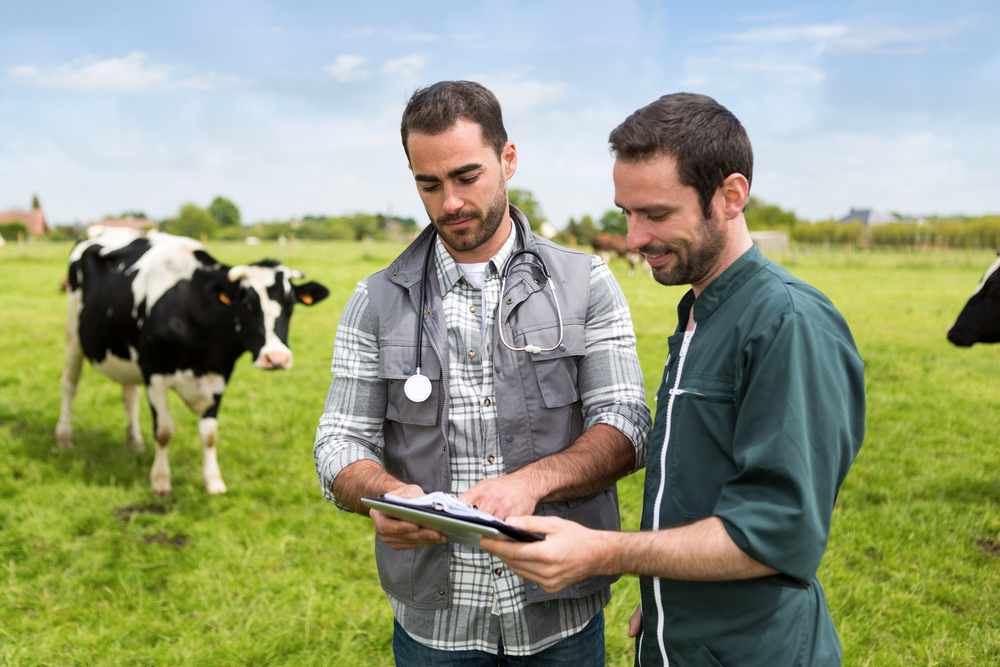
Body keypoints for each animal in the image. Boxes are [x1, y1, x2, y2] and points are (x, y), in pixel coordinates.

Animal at [56, 232, 330, 494]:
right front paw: (161, 481)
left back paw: (135, 442)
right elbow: (164, 431)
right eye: (249, 304)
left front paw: (213, 481)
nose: (277, 358)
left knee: (129, 395)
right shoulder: (153, 373)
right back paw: (64, 437)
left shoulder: (219, 375)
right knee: (69, 384)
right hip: (73, 336)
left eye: (290, 305)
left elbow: (209, 434)